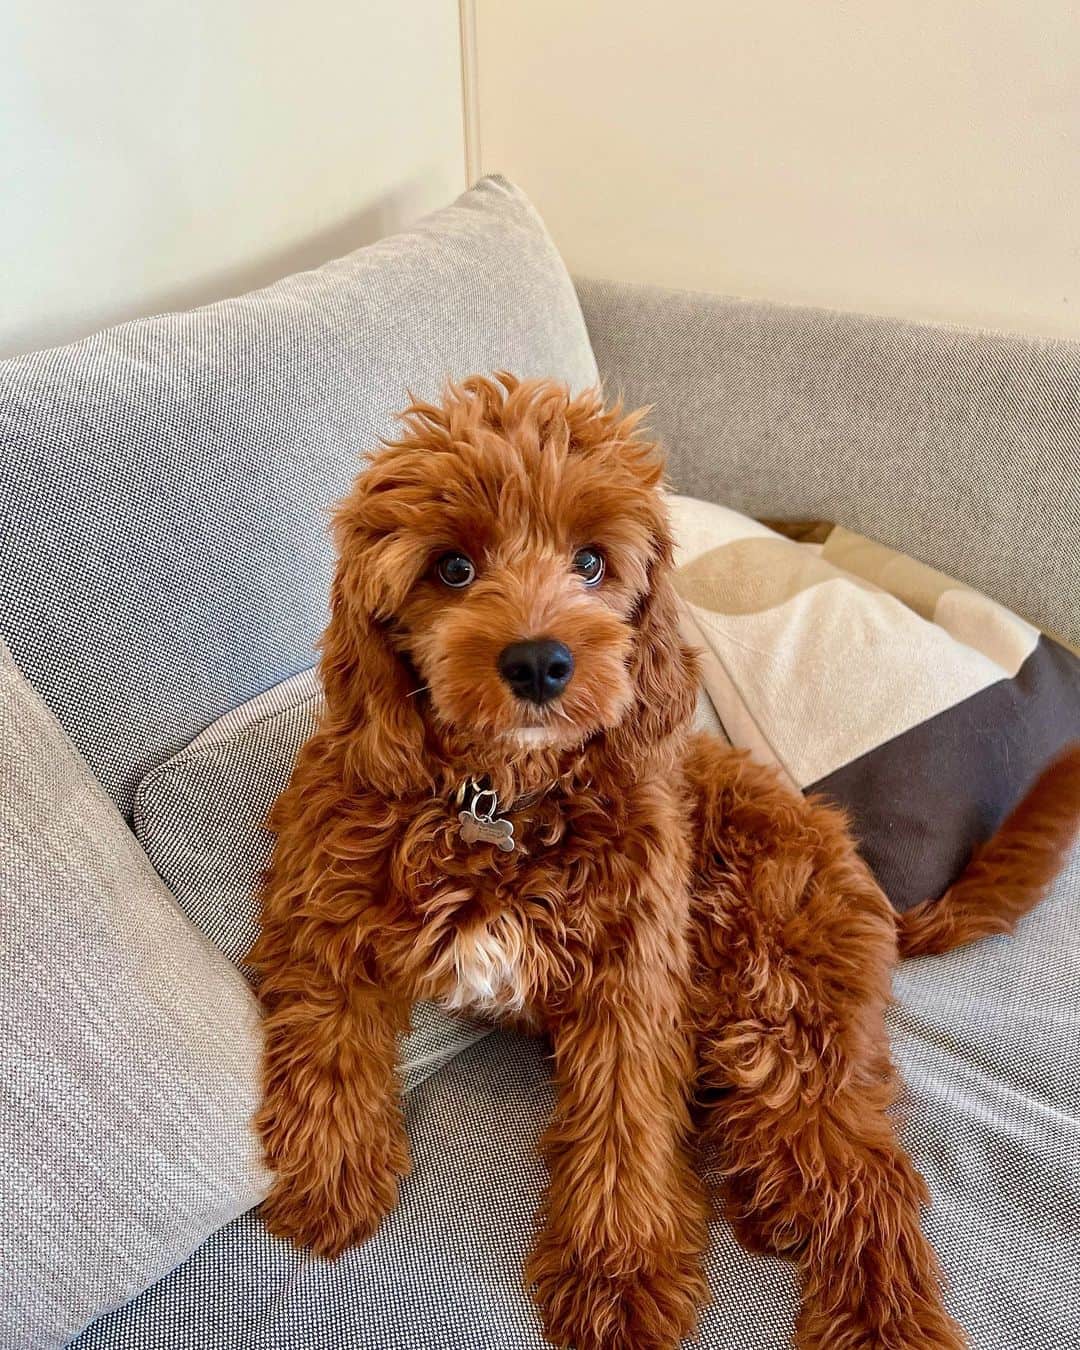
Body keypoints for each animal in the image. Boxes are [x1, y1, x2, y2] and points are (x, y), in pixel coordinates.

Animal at [248, 375, 1080, 1350]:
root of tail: (862, 871)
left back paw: (882, 1322)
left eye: (591, 562)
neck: (500, 799)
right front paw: (331, 1175)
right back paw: (767, 1209)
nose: (540, 663)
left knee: (866, 1180)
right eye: (451, 568)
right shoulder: (321, 914)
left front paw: (620, 1276)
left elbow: (625, 1125)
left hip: (779, 1012)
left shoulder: (634, 979)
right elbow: (328, 1044)